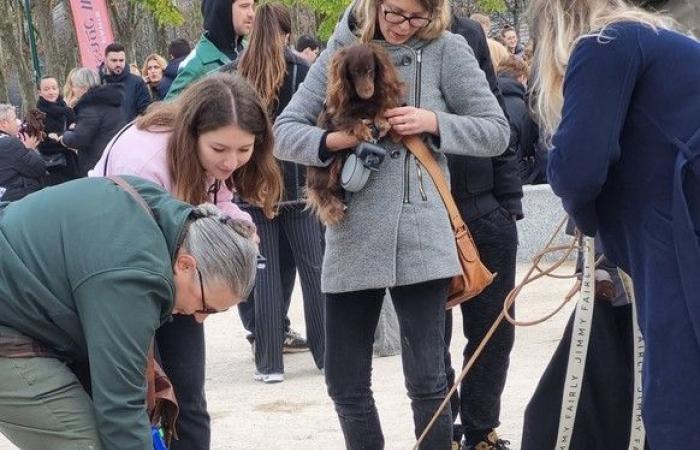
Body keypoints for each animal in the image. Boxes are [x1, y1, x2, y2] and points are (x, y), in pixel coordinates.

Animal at [308, 42, 404, 225]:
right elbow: (350, 120)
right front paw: (364, 130)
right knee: (319, 189)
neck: (362, 101)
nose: (367, 92)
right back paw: (334, 208)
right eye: (354, 72)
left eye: (370, 70)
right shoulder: (336, 115)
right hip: (330, 165)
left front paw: (382, 121)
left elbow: (381, 108)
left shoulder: (376, 101)